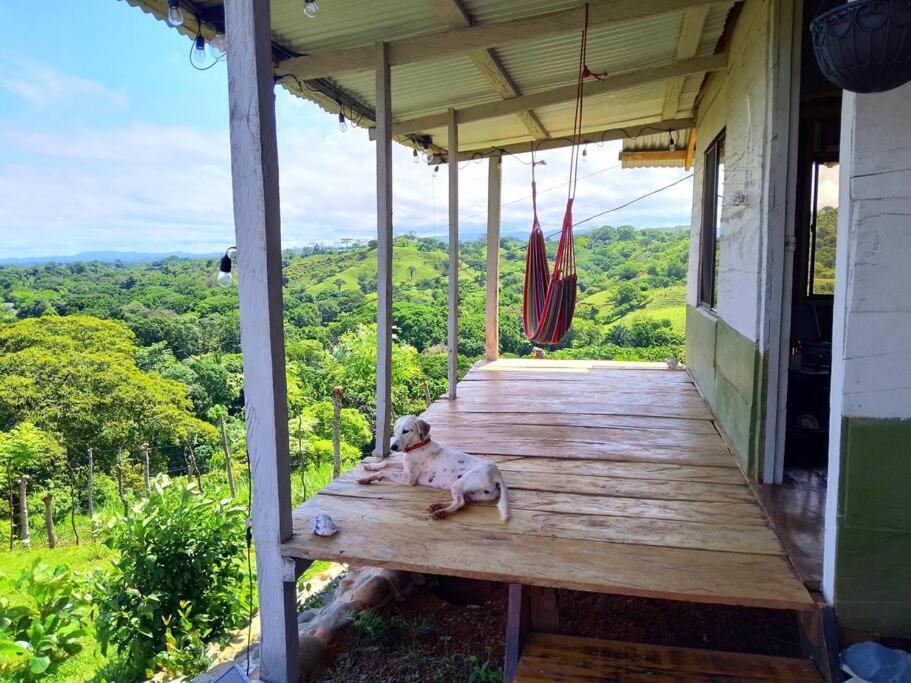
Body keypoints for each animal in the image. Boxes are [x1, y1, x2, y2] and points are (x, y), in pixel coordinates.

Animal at [358, 414, 512, 520]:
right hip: (472, 492)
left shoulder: (408, 478)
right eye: (395, 431)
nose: (393, 447)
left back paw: (441, 512)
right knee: (463, 501)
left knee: (460, 502)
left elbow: (384, 472)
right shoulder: (404, 466)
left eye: (406, 431)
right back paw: (438, 506)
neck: (419, 446)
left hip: (460, 483)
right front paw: (371, 466)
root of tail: (497, 474)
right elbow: (386, 463)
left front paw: (367, 479)